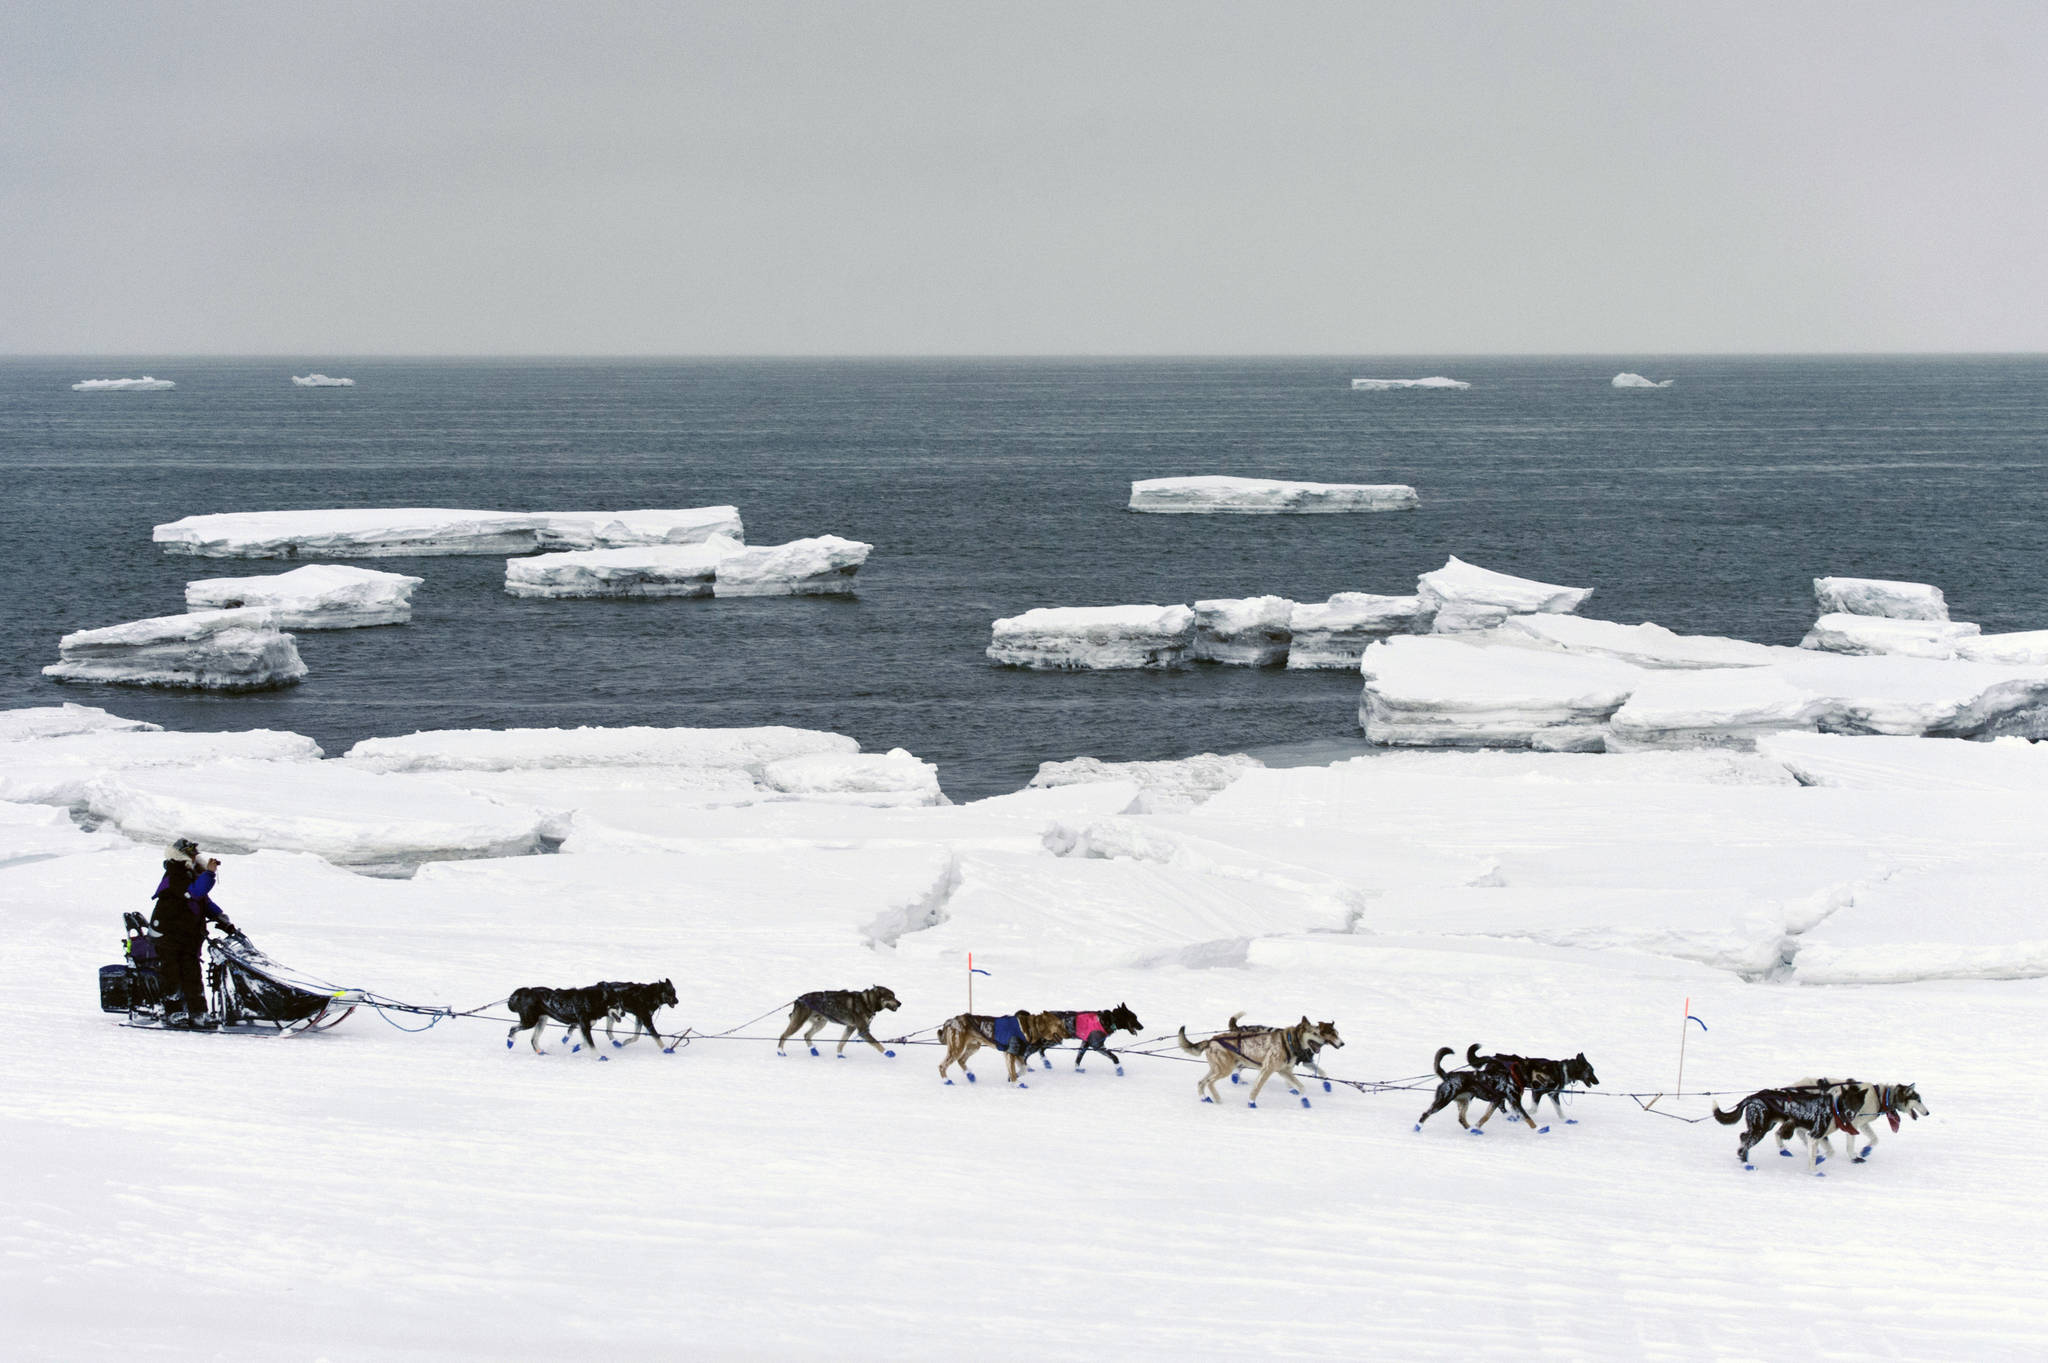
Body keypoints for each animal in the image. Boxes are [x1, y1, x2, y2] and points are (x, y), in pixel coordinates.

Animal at [1187, 1006, 1343, 1105]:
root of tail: (1211, 1040)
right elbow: (1258, 1088)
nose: (1343, 1043)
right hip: (1228, 1066)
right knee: (1211, 1081)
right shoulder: (1273, 1068)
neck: (1292, 1041)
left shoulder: (1287, 1068)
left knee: (1204, 1082)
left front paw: (1312, 1094)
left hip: (1227, 1065)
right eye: (1331, 1034)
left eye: (1337, 1033)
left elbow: (1312, 1078)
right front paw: (1252, 1102)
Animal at [1703, 1080, 1867, 1170]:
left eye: (1856, 1103)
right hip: (1760, 1129)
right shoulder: (1814, 1134)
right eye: (1847, 1102)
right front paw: (1815, 1171)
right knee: (1746, 1142)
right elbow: (1814, 1157)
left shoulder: (1819, 1136)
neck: (1834, 1107)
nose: (1850, 1113)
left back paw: (1745, 1159)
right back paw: (1747, 1164)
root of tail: (1753, 1096)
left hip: (1763, 1126)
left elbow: (1829, 1152)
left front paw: (1819, 1160)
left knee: (1743, 1137)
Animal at [1769, 1072, 1925, 1154]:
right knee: (1785, 1132)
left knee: (1797, 1132)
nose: (1928, 1112)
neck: (1880, 1096)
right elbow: (1850, 1145)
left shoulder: (1863, 1124)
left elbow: (1875, 1139)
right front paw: (1854, 1157)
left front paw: (1866, 1150)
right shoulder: (1853, 1124)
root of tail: (1790, 1088)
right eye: (1918, 1099)